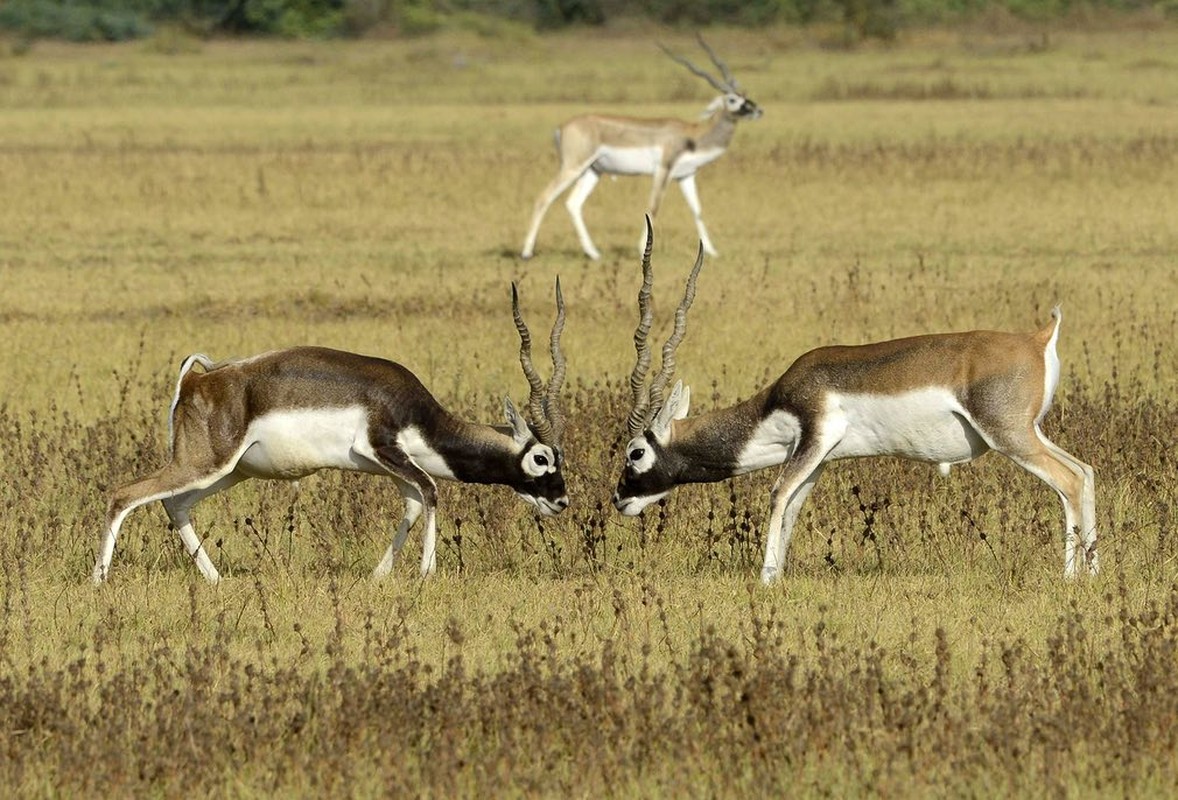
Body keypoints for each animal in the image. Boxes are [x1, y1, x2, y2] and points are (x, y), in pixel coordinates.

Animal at [94, 285, 567, 584]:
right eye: (540, 457)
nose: (561, 501)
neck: (417, 413)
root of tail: (198, 380)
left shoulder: (396, 469)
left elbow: (414, 504)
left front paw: (379, 576)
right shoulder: (383, 449)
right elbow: (432, 492)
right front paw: (426, 573)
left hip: (230, 472)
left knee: (175, 505)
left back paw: (216, 580)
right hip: (205, 463)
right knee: (123, 495)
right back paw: (100, 580)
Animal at [520, 35, 758, 261]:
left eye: (745, 96)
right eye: (732, 99)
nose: (757, 110)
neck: (692, 135)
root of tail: (562, 127)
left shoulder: (686, 175)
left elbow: (697, 210)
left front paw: (712, 251)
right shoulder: (663, 170)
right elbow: (653, 206)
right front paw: (639, 249)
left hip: (592, 171)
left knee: (573, 204)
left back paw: (593, 253)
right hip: (573, 167)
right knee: (544, 197)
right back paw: (526, 253)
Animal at [612, 223, 1097, 582]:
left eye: (635, 452)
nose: (618, 499)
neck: (777, 401)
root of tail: (1037, 339)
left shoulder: (814, 436)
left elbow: (776, 494)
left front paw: (765, 580)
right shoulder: (817, 457)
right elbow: (793, 508)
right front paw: (779, 576)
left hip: (1008, 435)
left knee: (1069, 481)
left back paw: (1070, 578)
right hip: (1030, 432)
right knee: (1087, 472)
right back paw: (1092, 574)